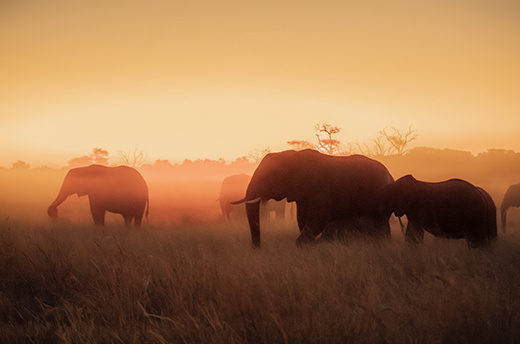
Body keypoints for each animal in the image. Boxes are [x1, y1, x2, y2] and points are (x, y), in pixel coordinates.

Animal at [232, 149, 394, 246]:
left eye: (270, 176)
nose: (259, 249)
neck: (293, 156)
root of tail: (390, 175)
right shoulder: (302, 195)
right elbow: (302, 220)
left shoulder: (322, 190)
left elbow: (318, 219)